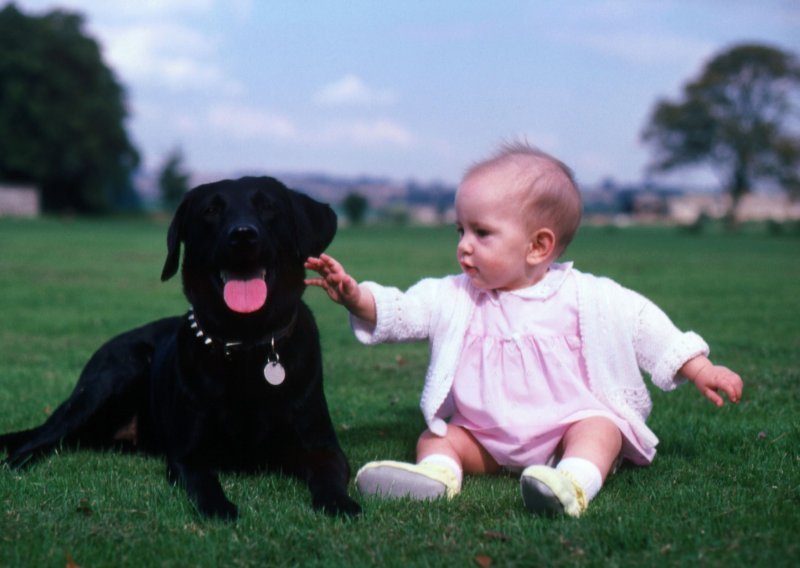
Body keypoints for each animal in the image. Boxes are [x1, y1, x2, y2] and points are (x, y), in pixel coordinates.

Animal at [0, 176, 360, 520]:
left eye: (268, 207)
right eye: (211, 211)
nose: (243, 235)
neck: (245, 341)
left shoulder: (322, 447)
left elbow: (329, 476)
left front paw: (341, 504)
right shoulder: (189, 455)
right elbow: (206, 484)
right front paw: (220, 509)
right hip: (108, 380)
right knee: (39, 439)